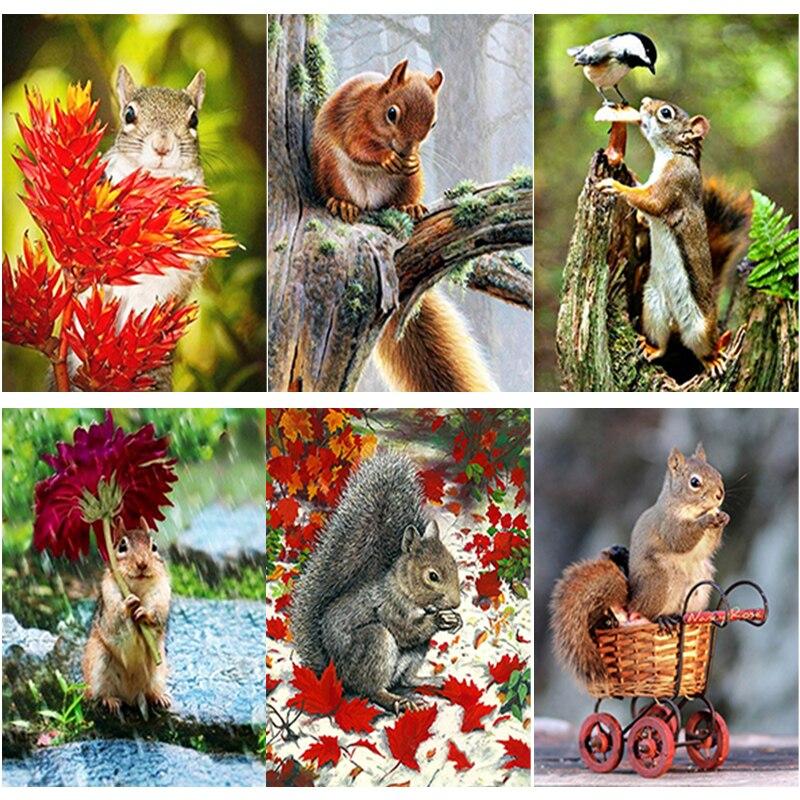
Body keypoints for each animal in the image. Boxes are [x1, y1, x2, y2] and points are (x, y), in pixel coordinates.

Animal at [82, 522, 171, 715]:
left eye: (154, 547)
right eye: (122, 547)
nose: (142, 563)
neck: (136, 588)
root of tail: (131, 696)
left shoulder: (161, 594)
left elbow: (157, 615)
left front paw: (144, 612)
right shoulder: (109, 596)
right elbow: (116, 617)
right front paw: (128, 604)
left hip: (158, 672)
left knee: (151, 691)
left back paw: (160, 697)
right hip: (98, 664)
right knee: (99, 693)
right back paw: (109, 701)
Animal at [290, 451, 462, 713]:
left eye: (454, 564)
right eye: (432, 576)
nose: (456, 603)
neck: (403, 588)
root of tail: (337, 676)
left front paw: (455, 619)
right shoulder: (389, 608)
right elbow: (406, 632)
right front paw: (439, 620)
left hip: (416, 653)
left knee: (405, 679)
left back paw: (429, 682)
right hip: (376, 642)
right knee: (373, 690)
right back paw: (399, 701)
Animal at [310, 59, 497, 392]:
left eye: (434, 124)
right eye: (392, 113)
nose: (406, 151)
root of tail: (370, 204)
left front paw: (407, 161)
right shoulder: (352, 119)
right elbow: (358, 146)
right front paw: (385, 158)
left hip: (411, 184)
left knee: (403, 197)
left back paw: (409, 207)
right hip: (330, 166)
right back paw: (342, 204)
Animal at [549, 444, 729, 686]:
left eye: (718, 474)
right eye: (694, 482)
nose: (720, 495)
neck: (687, 507)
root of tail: (631, 601)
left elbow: (709, 545)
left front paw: (723, 517)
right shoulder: (666, 524)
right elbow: (680, 539)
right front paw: (707, 520)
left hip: (699, 587)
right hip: (660, 581)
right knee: (646, 612)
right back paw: (662, 619)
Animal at [597, 97, 751, 378]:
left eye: (665, 113)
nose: (644, 102)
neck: (671, 155)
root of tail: (677, 321)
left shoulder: (675, 184)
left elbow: (651, 202)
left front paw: (616, 186)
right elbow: (644, 214)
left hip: (700, 328)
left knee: (702, 349)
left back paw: (713, 359)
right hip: (653, 307)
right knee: (663, 343)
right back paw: (651, 348)